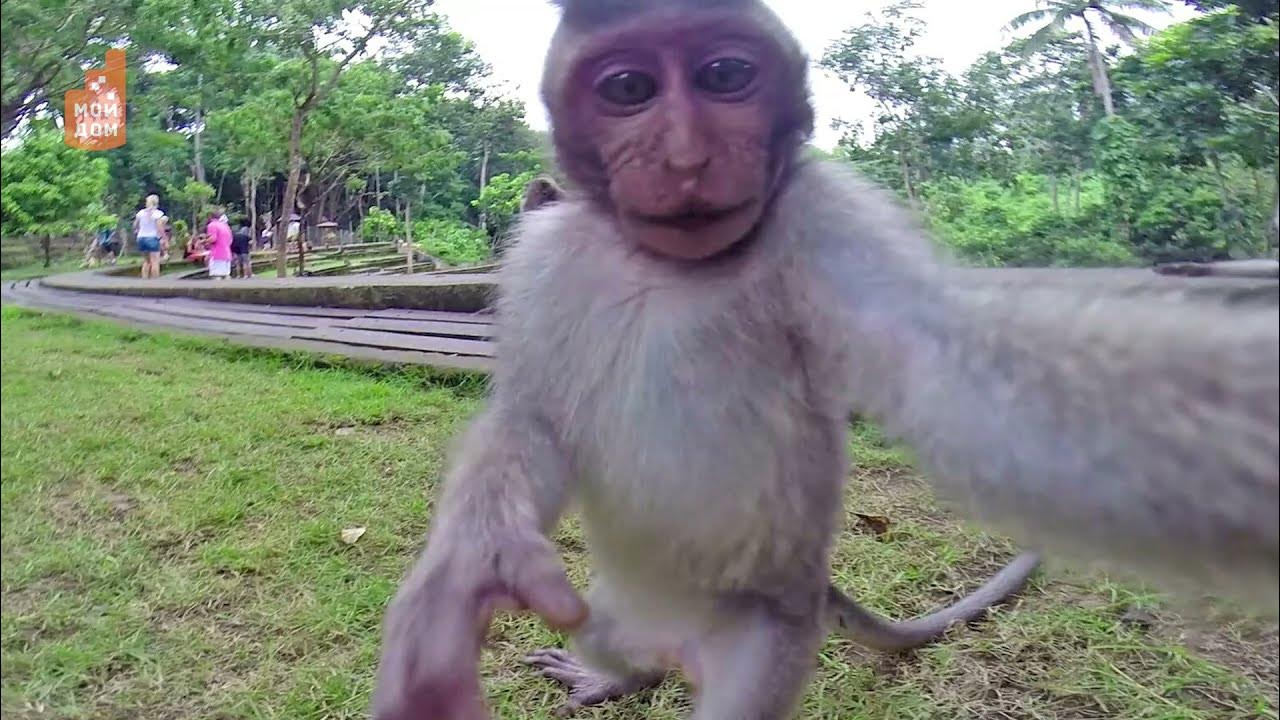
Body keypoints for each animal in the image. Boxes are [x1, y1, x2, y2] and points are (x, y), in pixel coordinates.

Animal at [371, 2, 1279, 719]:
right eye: (629, 90)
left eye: (726, 75)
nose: (686, 156)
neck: (664, 266)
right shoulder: (543, 256)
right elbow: (532, 415)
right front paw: (465, 577)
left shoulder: (826, 218)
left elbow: (956, 375)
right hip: (614, 606)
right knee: (613, 638)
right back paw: (616, 677)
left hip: (766, 635)